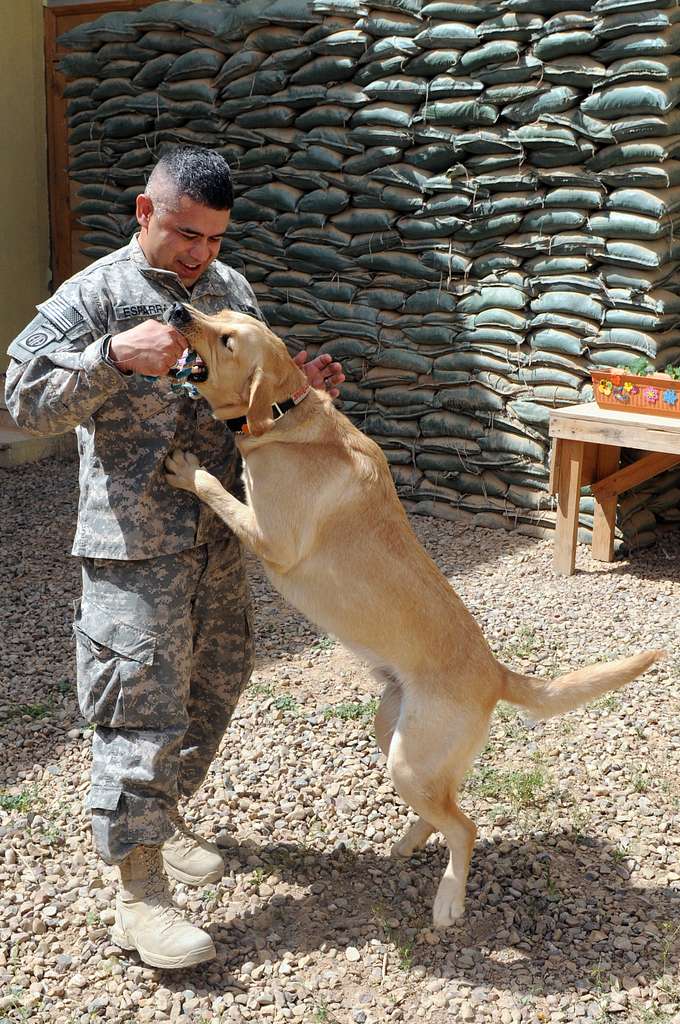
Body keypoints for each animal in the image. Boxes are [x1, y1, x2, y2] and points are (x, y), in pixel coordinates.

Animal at [164, 303, 663, 929]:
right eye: (217, 313)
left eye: (227, 338)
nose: (178, 309)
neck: (286, 416)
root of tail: (495, 673)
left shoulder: (271, 538)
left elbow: (216, 487)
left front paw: (187, 470)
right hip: (394, 733)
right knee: (442, 810)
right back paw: (407, 842)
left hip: (408, 759)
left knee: (465, 826)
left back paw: (449, 898)